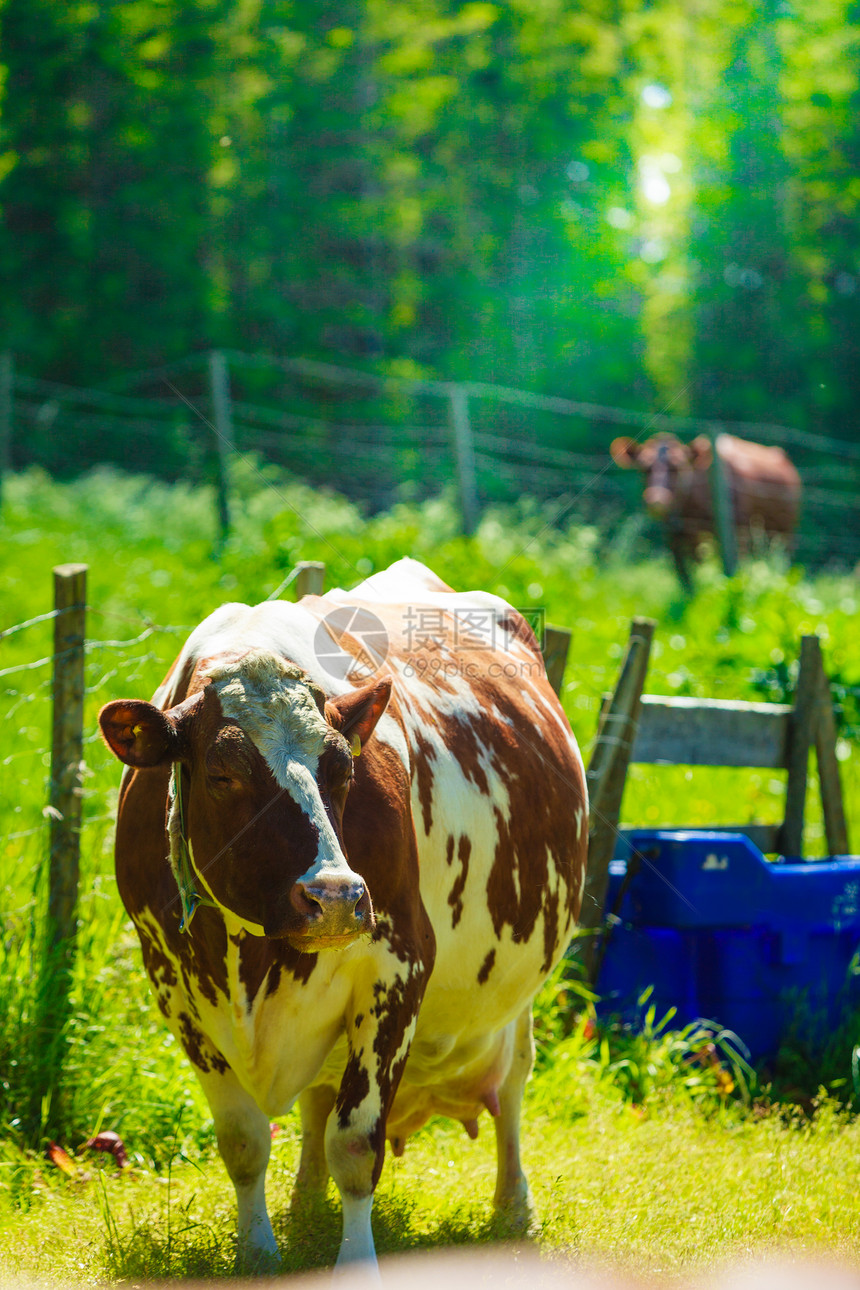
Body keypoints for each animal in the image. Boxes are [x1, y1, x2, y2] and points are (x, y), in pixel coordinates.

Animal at [97, 557, 587, 1269]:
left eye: (341, 767)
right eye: (221, 773)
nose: (332, 895)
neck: (251, 954)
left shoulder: (399, 968)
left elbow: (355, 1144)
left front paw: (355, 1262)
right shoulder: (174, 984)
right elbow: (244, 1141)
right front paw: (258, 1255)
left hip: (516, 1003)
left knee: (513, 1088)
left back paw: (512, 1207)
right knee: (317, 1102)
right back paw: (303, 1206)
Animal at [611, 433, 799, 590]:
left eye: (677, 467)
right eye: (644, 467)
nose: (657, 500)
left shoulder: (736, 532)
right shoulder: (675, 537)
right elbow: (685, 577)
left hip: (783, 531)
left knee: (781, 560)